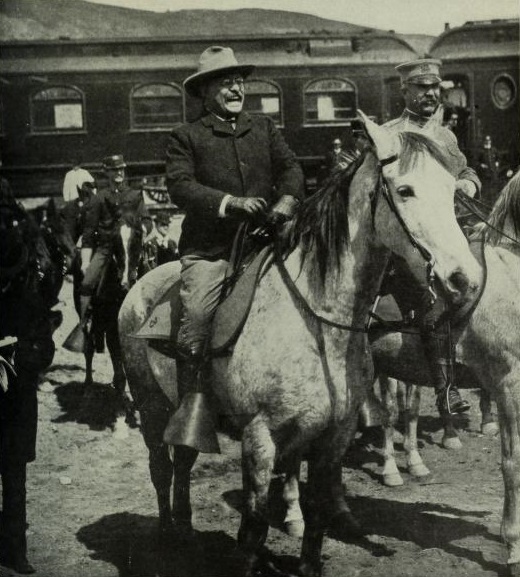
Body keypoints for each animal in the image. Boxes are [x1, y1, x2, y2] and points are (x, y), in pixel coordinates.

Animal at [118, 113, 480, 576]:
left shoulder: (333, 436)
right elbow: (254, 525)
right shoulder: (259, 438)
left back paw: (184, 529)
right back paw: (167, 534)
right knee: (161, 469)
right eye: (405, 190)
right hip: (150, 405)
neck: (318, 322)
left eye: (453, 190)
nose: (464, 278)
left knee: (182, 461)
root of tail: (139, 284)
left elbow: (320, 511)